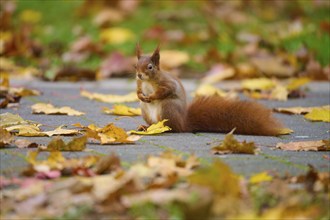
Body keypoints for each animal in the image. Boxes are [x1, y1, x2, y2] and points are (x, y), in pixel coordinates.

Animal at [135, 44, 284, 136]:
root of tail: (184, 123)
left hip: (168, 108)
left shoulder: (167, 83)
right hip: (145, 110)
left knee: (172, 128)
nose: (139, 75)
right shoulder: (139, 84)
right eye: (136, 65)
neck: (147, 81)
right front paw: (141, 96)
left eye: (150, 67)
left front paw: (152, 96)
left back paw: (162, 129)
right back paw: (146, 127)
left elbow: (165, 90)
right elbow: (138, 92)